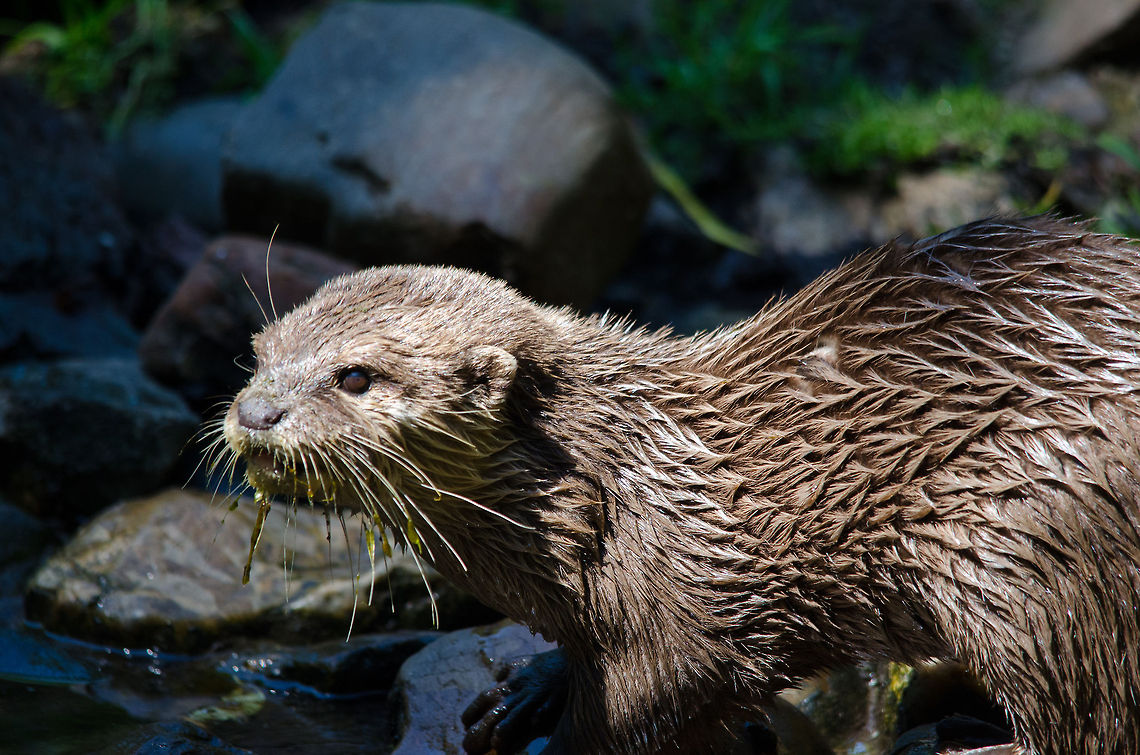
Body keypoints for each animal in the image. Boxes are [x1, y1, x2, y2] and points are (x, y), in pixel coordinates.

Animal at [221, 216, 1140, 754]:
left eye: (355, 376)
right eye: (260, 350)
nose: (258, 412)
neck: (620, 482)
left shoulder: (695, 610)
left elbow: (652, 705)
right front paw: (526, 693)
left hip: (1032, 536)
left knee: (1086, 714)